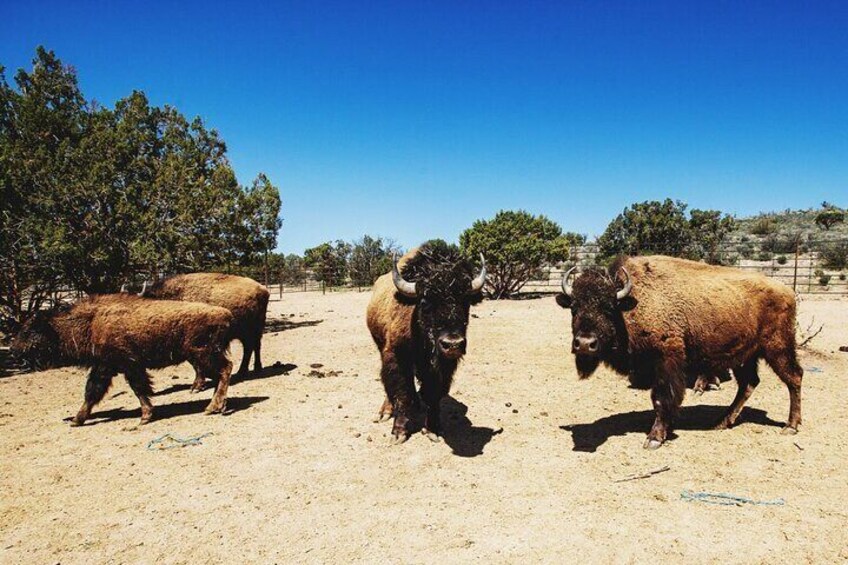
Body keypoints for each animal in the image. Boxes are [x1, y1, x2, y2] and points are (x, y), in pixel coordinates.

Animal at [10, 296, 235, 424]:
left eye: (29, 330)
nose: (13, 351)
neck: (92, 322)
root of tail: (225, 314)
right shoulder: (104, 367)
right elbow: (92, 392)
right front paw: (77, 419)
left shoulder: (127, 365)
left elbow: (137, 389)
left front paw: (145, 417)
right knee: (222, 374)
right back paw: (219, 405)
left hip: (203, 355)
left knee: (225, 370)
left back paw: (212, 408)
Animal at [140, 270, 268, 382]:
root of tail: (263, 289)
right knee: (253, 347)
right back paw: (253, 369)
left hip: (250, 331)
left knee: (251, 348)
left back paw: (246, 371)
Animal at [368, 242, 486, 446]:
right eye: (424, 301)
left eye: (466, 301)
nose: (452, 344)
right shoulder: (397, 357)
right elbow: (402, 392)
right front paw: (398, 433)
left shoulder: (442, 367)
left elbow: (433, 393)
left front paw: (432, 429)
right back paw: (385, 412)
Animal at [556, 253, 800, 448]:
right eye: (574, 308)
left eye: (608, 308)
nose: (585, 344)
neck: (632, 303)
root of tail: (787, 291)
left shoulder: (667, 361)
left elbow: (661, 399)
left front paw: (655, 438)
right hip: (744, 357)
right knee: (748, 384)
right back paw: (721, 422)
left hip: (778, 348)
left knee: (794, 377)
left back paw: (790, 426)